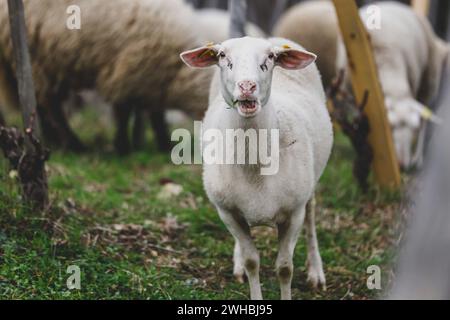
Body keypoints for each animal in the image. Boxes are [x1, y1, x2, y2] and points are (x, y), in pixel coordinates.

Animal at [180, 37, 334, 300]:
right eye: (222, 55)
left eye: (270, 57)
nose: (246, 86)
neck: (253, 165)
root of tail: (276, 38)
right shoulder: (228, 212)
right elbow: (252, 261)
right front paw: (247, 272)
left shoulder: (293, 213)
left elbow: (285, 267)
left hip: (310, 186)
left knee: (311, 217)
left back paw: (316, 271)